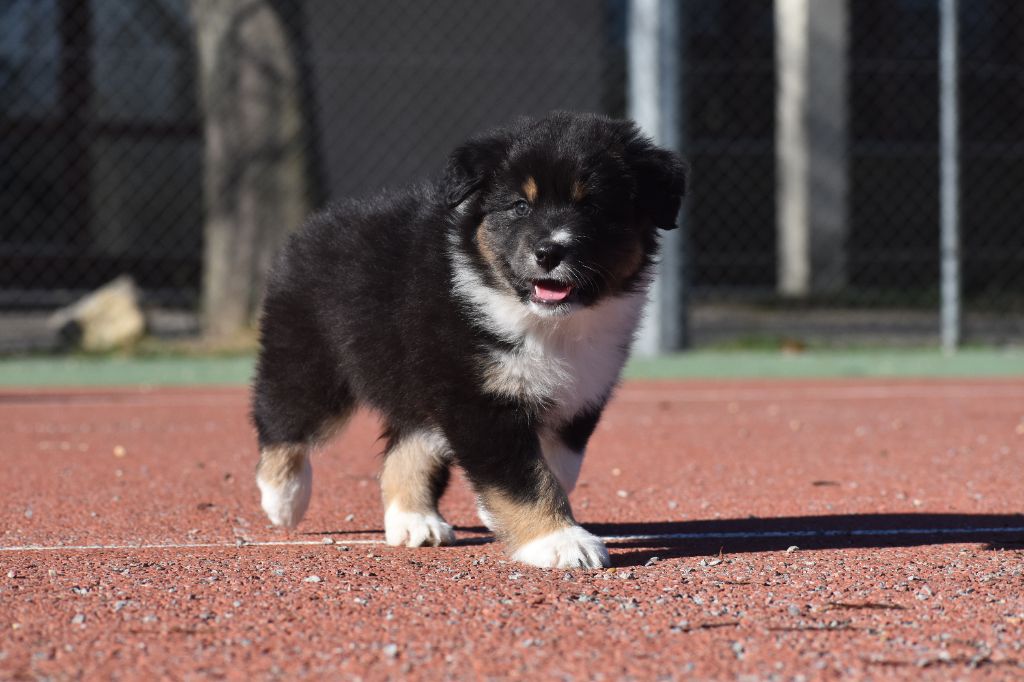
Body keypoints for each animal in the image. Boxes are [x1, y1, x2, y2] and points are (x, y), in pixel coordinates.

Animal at [251, 112, 688, 569]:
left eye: (593, 207)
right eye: (520, 205)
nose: (549, 251)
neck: (542, 321)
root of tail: (314, 226)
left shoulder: (583, 390)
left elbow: (559, 466)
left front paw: (509, 517)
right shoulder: (478, 398)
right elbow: (523, 474)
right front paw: (559, 540)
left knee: (410, 444)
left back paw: (414, 521)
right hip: (309, 358)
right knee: (281, 420)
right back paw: (284, 499)